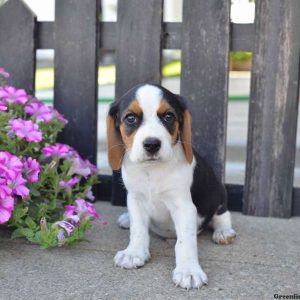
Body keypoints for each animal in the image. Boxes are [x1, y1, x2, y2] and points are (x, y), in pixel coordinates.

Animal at [106, 83, 236, 290]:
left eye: (168, 116)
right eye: (130, 118)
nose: (152, 144)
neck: (151, 171)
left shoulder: (183, 206)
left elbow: (185, 241)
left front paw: (188, 270)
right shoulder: (134, 198)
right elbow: (138, 229)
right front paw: (134, 253)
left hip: (217, 192)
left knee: (222, 215)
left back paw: (223, 232)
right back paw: (126, 219)